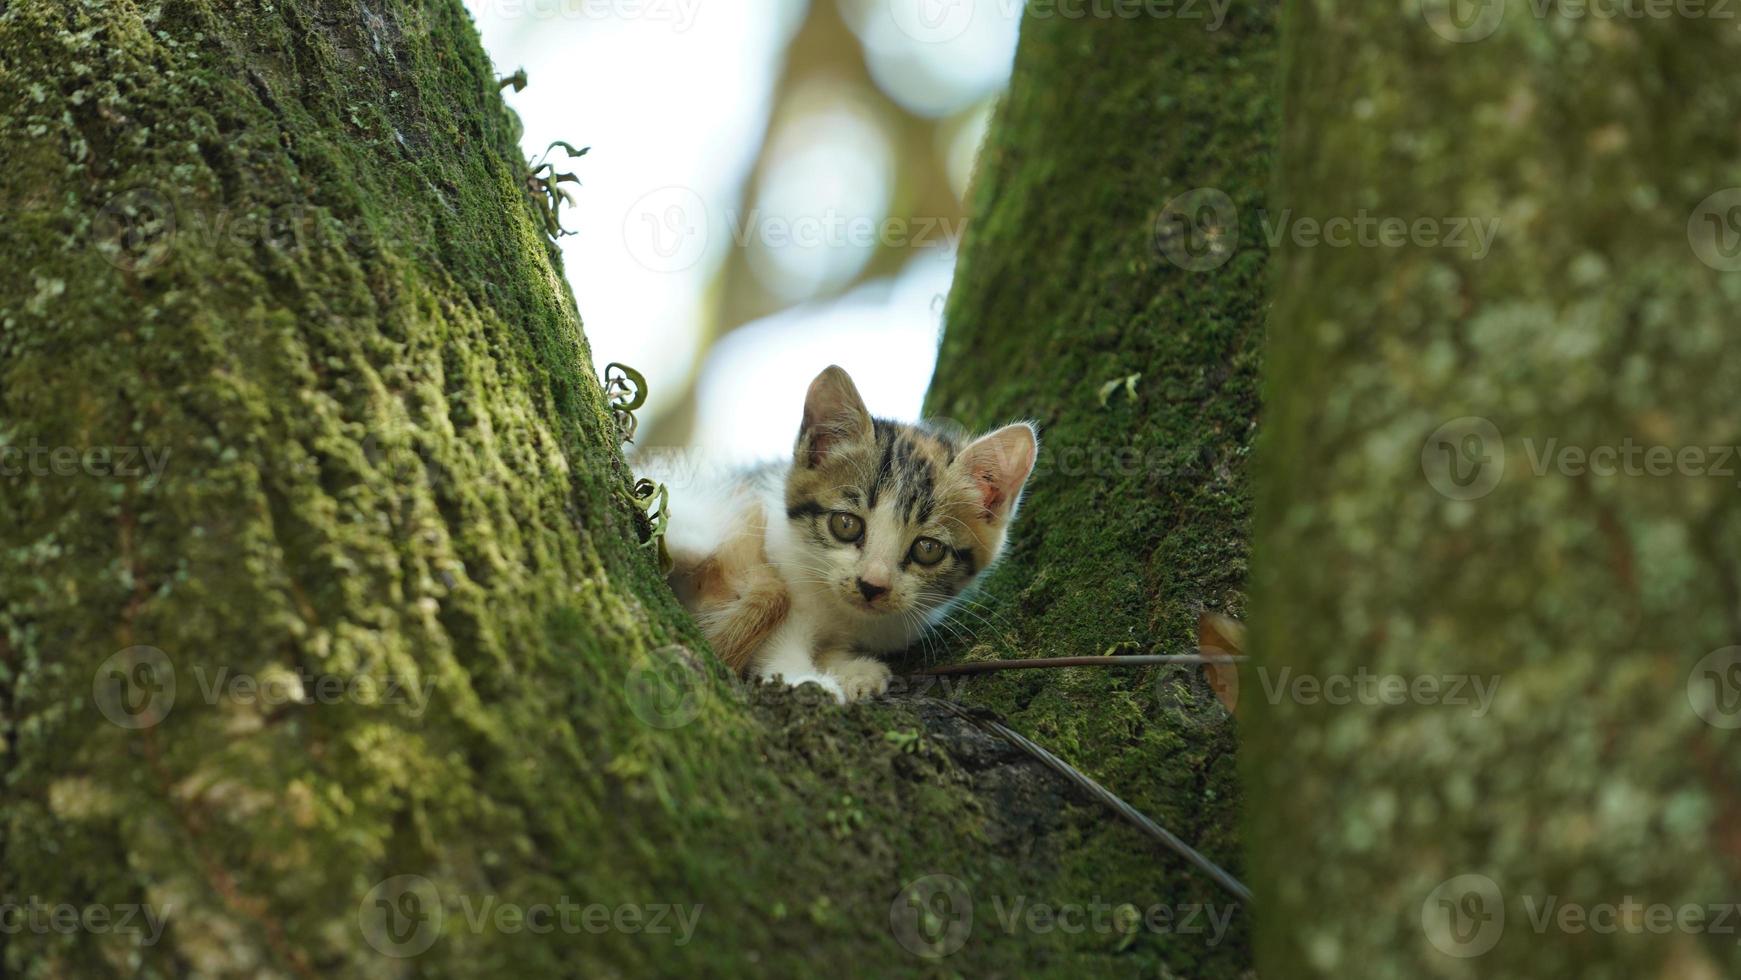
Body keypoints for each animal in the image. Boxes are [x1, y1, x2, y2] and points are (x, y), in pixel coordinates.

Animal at [651, 363, 1030, 703]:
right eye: (846, 525)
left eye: (927, 549)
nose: (872, 585)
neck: (839, 613)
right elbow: (778, 635)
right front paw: (801, 677)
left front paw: (853, 670)